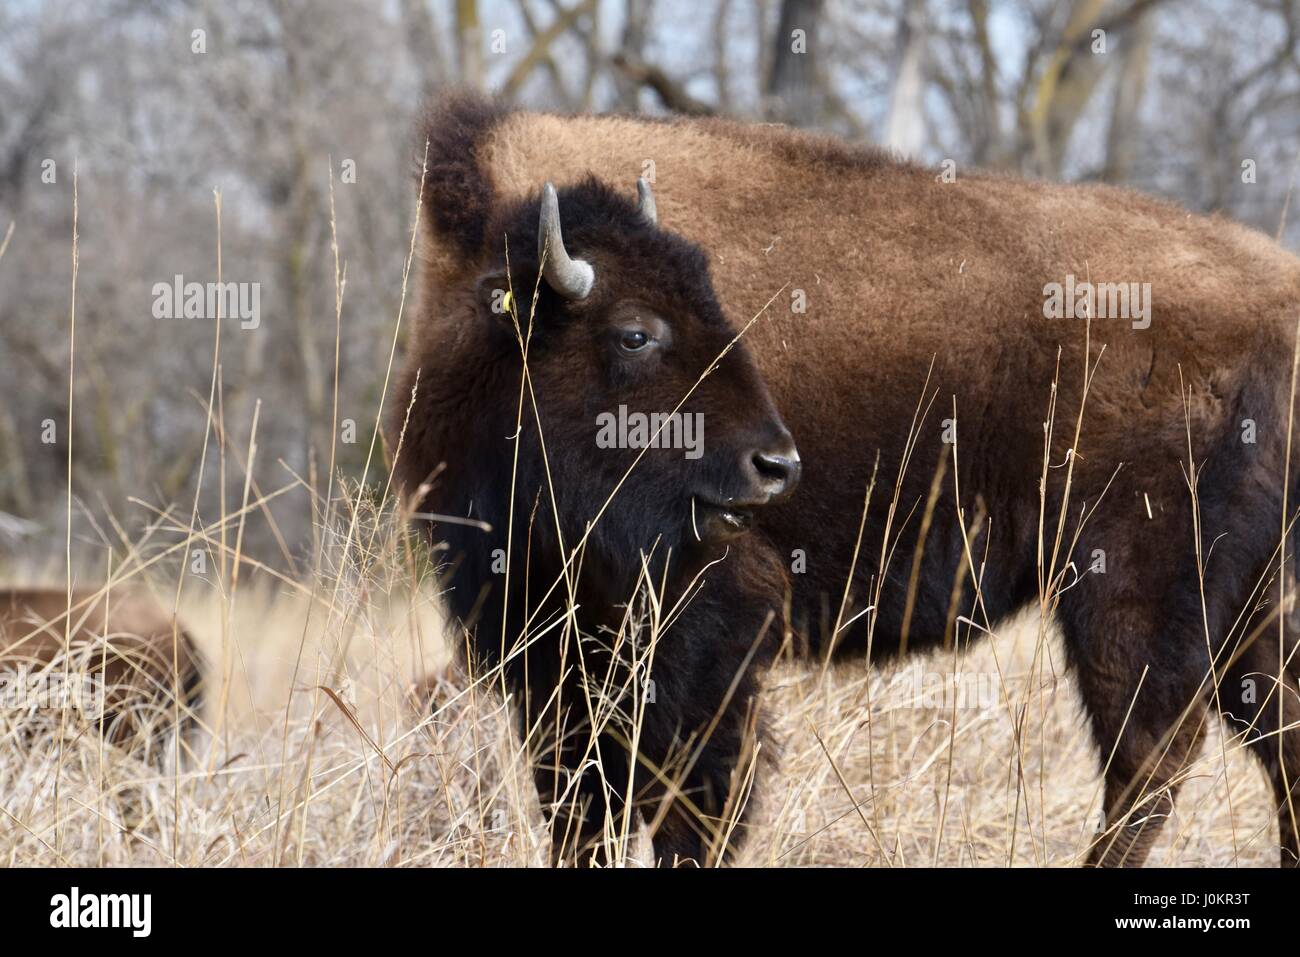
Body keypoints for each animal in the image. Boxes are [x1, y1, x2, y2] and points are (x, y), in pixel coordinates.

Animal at [392, 91, 1300, 868]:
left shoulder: (706, 632)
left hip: (1128, 593)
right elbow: (583, 804)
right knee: (1276, 744)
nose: (776, 465)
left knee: (1150, 759)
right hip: (1251, 608)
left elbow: (693, 799)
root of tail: (1280, 299)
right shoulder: (549, 652)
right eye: (636, 332)